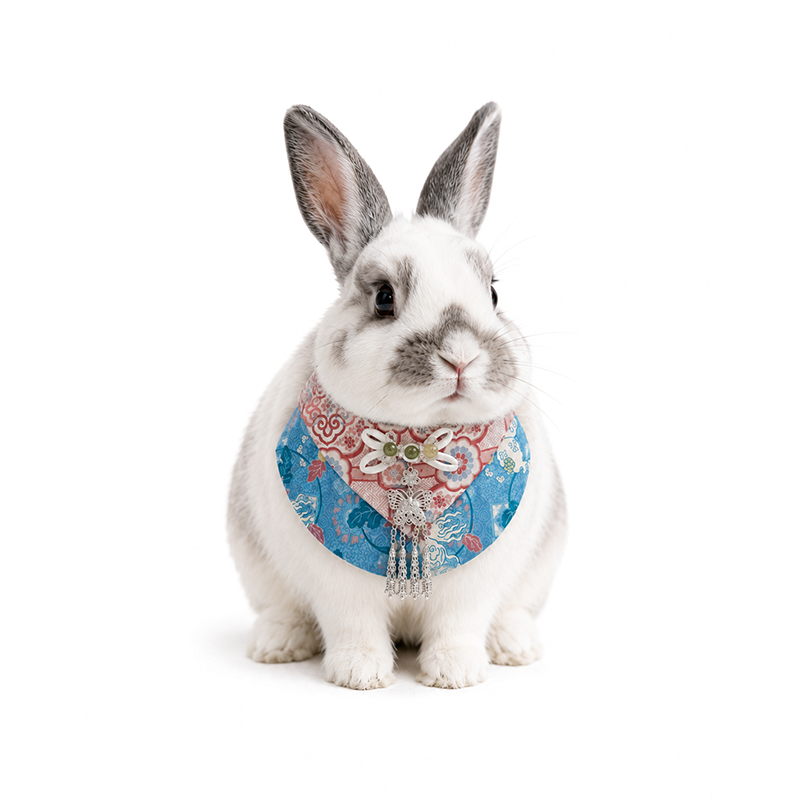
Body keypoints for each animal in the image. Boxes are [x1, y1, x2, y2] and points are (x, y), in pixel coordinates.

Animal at [227, 102, 566, 690]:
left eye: (493, 293)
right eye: (384, 298)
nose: (461, 357)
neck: (414, 448)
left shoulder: (472, 586)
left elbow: (458, 626)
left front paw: (455, 674)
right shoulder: (340, 588)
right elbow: (354, 627)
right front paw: (360, 674)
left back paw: (513, 646)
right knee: (280, 609)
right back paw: (278, 644)